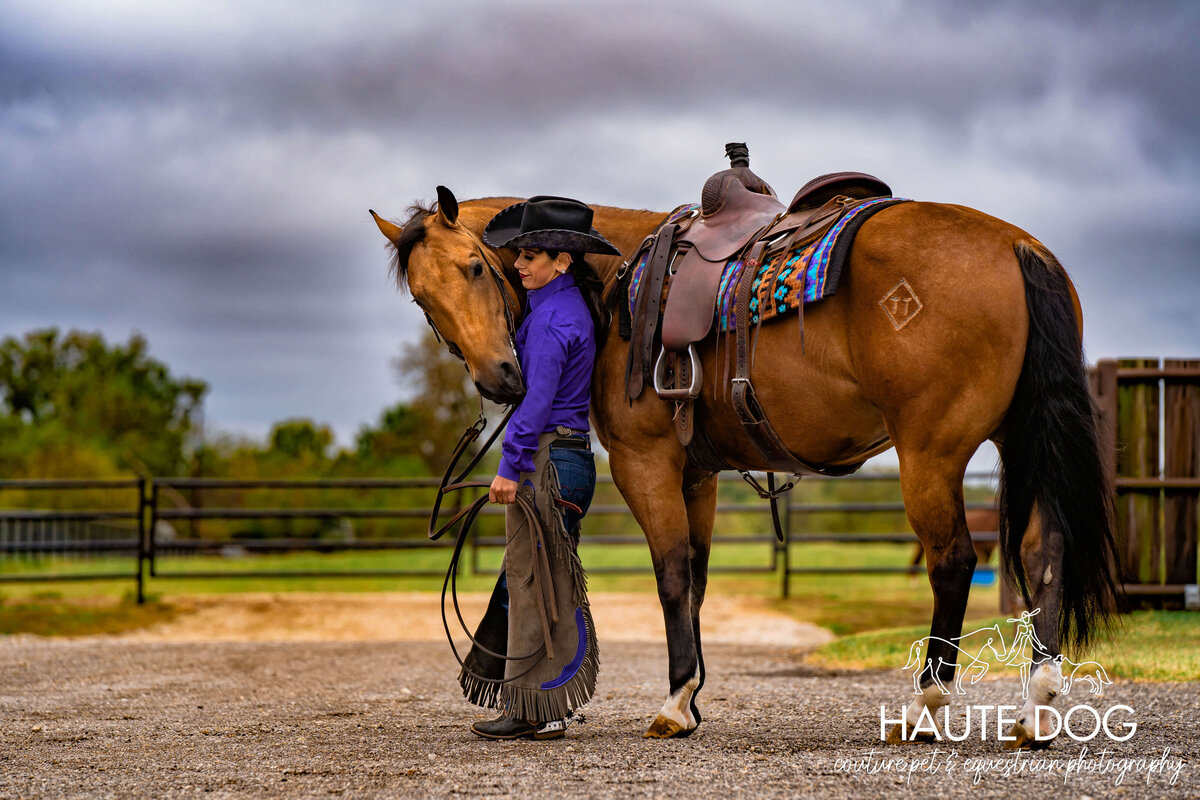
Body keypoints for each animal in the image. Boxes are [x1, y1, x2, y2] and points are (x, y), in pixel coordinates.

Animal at [369, 169, 1118, 753]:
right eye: (424, 299)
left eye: (474, 268)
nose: (502, 379)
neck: (613, 281)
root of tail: (1017, 246)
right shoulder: (697, 473)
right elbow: (698, 579)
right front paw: (692, 697)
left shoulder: (645, 465)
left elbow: (672, 575)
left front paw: (674, 708)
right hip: (1019, 441)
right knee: (1045, 553)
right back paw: (1037, 710)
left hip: (930, 454)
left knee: (955, 562)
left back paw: (924, 709)